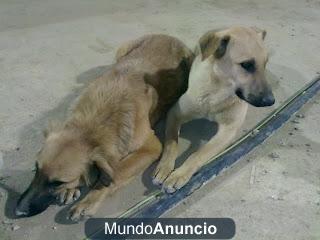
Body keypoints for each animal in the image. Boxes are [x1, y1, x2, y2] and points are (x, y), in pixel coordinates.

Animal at [15, 34, 192, 221]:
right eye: (36, 168)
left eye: (57, 182)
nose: (18, 211)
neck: (92, 124)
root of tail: (170, 37)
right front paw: (71, 189)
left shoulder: (151, 147)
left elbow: (116, 172)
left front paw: (88, 201)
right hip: (121, 51)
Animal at [154, 26, 274, 193]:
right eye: (246, 65)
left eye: (265, 64)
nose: (271, 101)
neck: (217, 93)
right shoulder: (174, 114)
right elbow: (171, 144)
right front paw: (164, 167)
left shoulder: (228, 130)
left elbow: (199, 154)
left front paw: (180, 174)